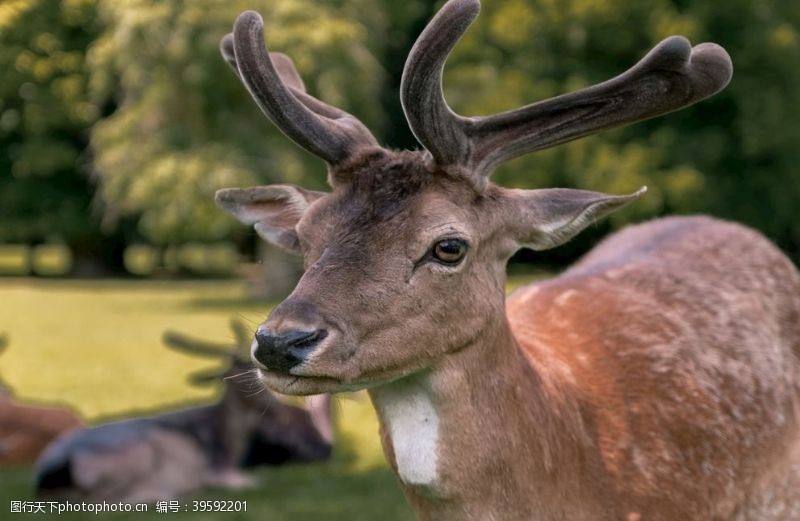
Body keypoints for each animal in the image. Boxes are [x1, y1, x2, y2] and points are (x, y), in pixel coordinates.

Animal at [35, 318, 332, 502]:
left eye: (253, 367)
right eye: (239, 377)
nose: (275, 406)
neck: (228, 443)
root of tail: (47, 478)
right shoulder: (219, 468)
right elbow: (252, 480)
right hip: (136, 454)